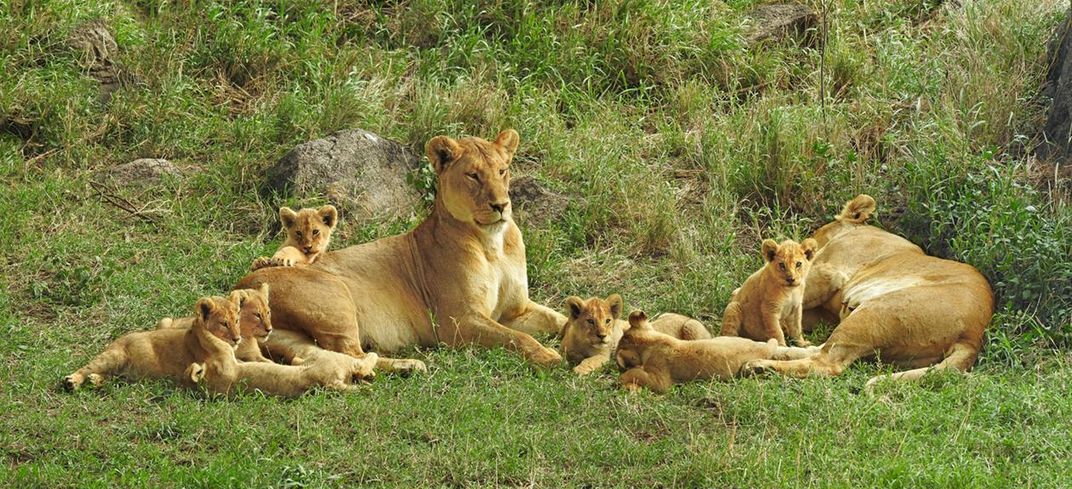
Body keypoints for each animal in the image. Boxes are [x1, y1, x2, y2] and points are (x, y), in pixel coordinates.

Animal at [64, 295, 241, 391]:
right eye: (224, 323)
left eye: (237, 321)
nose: (237, 339)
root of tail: (117, 339)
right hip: (114, 356)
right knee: (88, 367)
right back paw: (73, 381)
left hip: (124, 374)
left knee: (111, 377)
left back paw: (95, 380)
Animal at [233, 130, 564, 371]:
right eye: (473, 175)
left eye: (503, 171)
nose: (501, 205)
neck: (492, 244)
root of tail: (239, 287)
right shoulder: (458, 322)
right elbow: (518, 338)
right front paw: (549, 355)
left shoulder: (516, 310)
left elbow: (557, 319)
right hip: (335, 298)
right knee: (351, 354)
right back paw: (410, 364)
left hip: (288, 335)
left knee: (327, 356)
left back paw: (407, 366)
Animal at [561, 294, 711, 375]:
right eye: (590, 321)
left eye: (608, 321)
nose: (602, 336)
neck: (584, 341)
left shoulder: (604, 355)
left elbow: (591, 360)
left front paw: (579, 369)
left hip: (691, 326)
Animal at [742, 194, 994, 388]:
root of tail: (973, 336)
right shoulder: (824, 309)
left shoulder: (828, 271)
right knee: (819, 349)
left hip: (875, 311)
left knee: (825, 363)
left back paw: (758, 365)